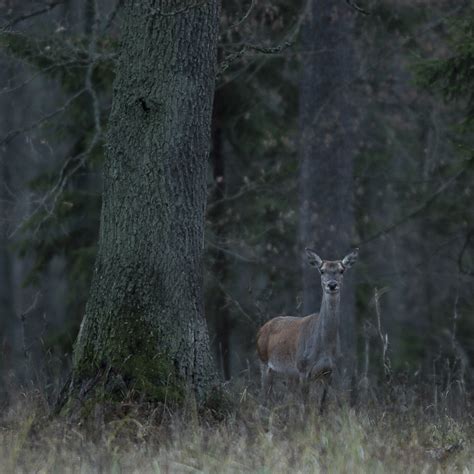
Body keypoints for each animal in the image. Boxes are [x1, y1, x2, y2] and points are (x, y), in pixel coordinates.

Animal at [258, 248, 358, 412]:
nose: (332, 285)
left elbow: (321, 405)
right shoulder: (303, 368)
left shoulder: (329, 371)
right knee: (264, 401)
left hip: (288, 374)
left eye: (341, 270)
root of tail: (261, 329)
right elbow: (305, 407)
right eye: (322, 271)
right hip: (264, 362)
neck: (324, 347)